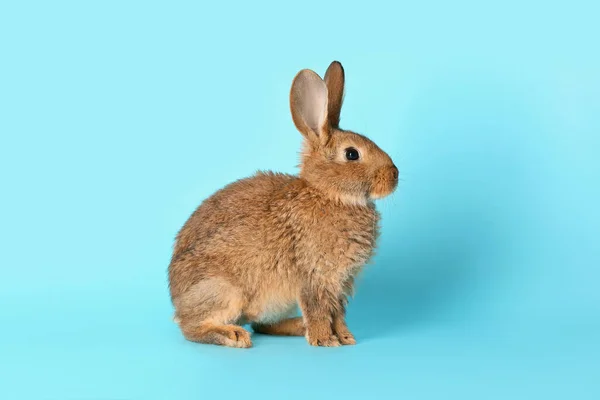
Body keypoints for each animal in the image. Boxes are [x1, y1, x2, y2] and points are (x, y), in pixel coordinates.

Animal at [169, 60, 398, 346]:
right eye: (352, 154)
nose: (394, 175)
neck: (328, 193)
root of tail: (176, 302)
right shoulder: (314, 277)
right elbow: (319, 311)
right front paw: (325, 340)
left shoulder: (341, 284)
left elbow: (338, 315)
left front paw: (346, 337)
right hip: (223, 290)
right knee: (192, 328)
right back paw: (234, 335)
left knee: (262, 325)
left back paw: (297, 327)